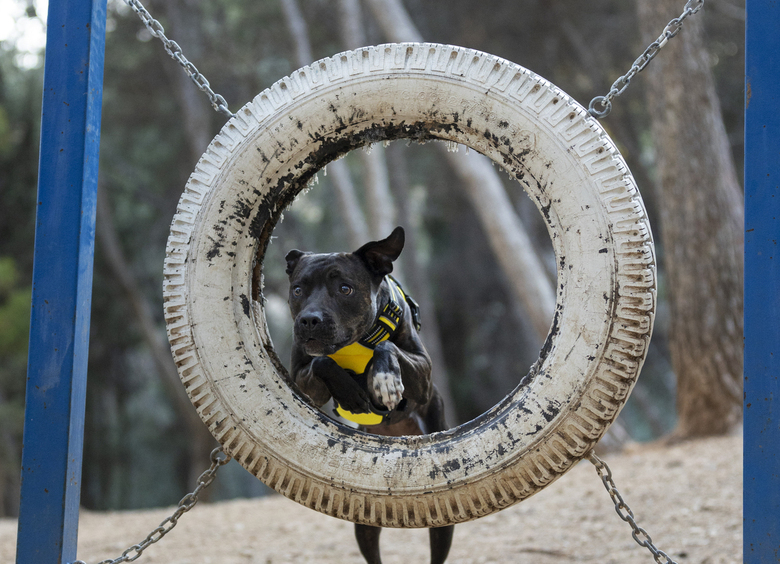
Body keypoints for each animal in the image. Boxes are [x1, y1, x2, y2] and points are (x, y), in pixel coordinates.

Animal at [284, 226, 458, 564]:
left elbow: (386, 346)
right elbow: (322, 362)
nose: (309, 319)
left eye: (345, 288)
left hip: (444, 522)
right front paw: (351, 391)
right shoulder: (301, 379)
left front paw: (384, 380)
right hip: (363, 525)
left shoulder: (423, 375)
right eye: (298, 290)